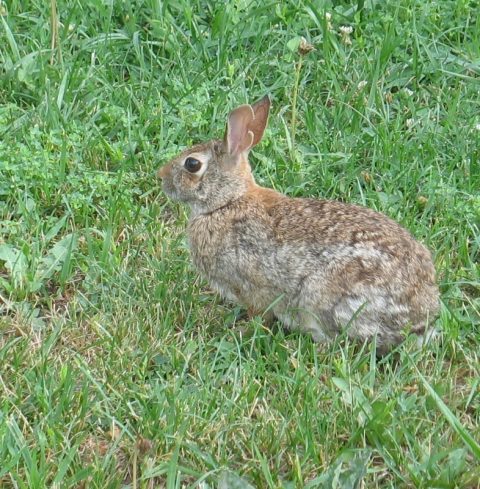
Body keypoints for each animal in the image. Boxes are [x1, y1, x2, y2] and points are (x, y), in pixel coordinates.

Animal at [158, 95, 438, 350]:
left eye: (192, 164)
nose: (160, 176)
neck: (227, 203)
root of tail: (419, 322)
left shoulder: (251, 286)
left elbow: (259, 315)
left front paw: (240, 331)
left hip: (323, 297)